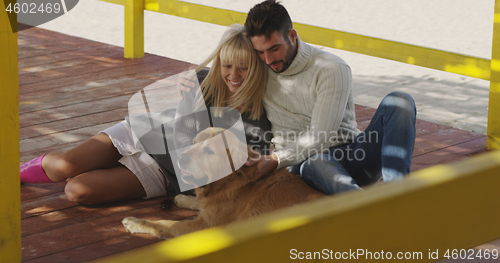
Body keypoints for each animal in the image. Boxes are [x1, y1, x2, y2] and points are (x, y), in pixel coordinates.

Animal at [121, 128, 324, 239]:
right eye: (193, 142)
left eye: (209, 151)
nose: (179, 158)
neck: (232, 182)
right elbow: (199, 203)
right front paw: (183, 198)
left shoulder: (205, 226)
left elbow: (165, 223)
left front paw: (134, 222)